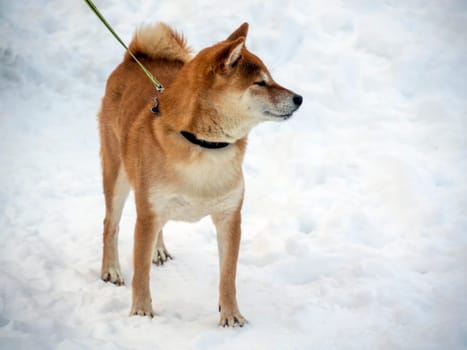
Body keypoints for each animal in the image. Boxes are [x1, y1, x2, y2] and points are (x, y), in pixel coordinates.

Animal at [98, 21, 304, 326]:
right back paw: (111, 269)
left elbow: (228, 276)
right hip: (117, 177)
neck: (204, 146)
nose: (299, 98)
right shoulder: (147, 214)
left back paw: (158, 250)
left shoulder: (230, 217)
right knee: (110, 224)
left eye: (271, 78)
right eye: (260, 83)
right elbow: (141, 275)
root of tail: (135, 58)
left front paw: (231, 316)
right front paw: (141, 312)